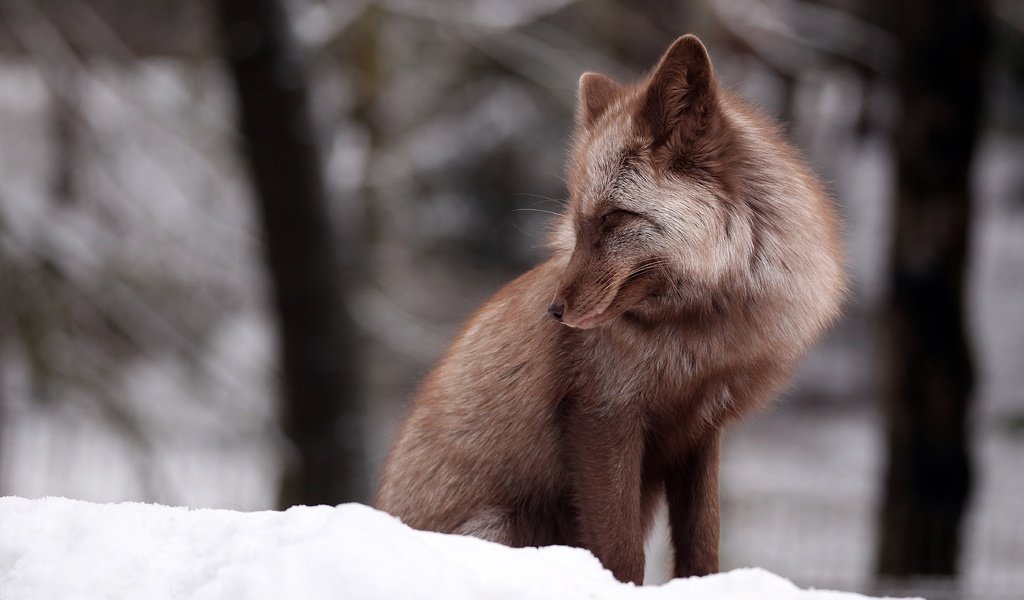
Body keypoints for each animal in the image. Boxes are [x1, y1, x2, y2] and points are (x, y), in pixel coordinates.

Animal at [376, 35, 847, 581]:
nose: (555, 311)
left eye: (614, 218)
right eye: (578, 222)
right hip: (506, 525)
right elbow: (622, 553)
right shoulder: (602, 415)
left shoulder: (701, 431)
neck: (700, 342)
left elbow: (702, 548)